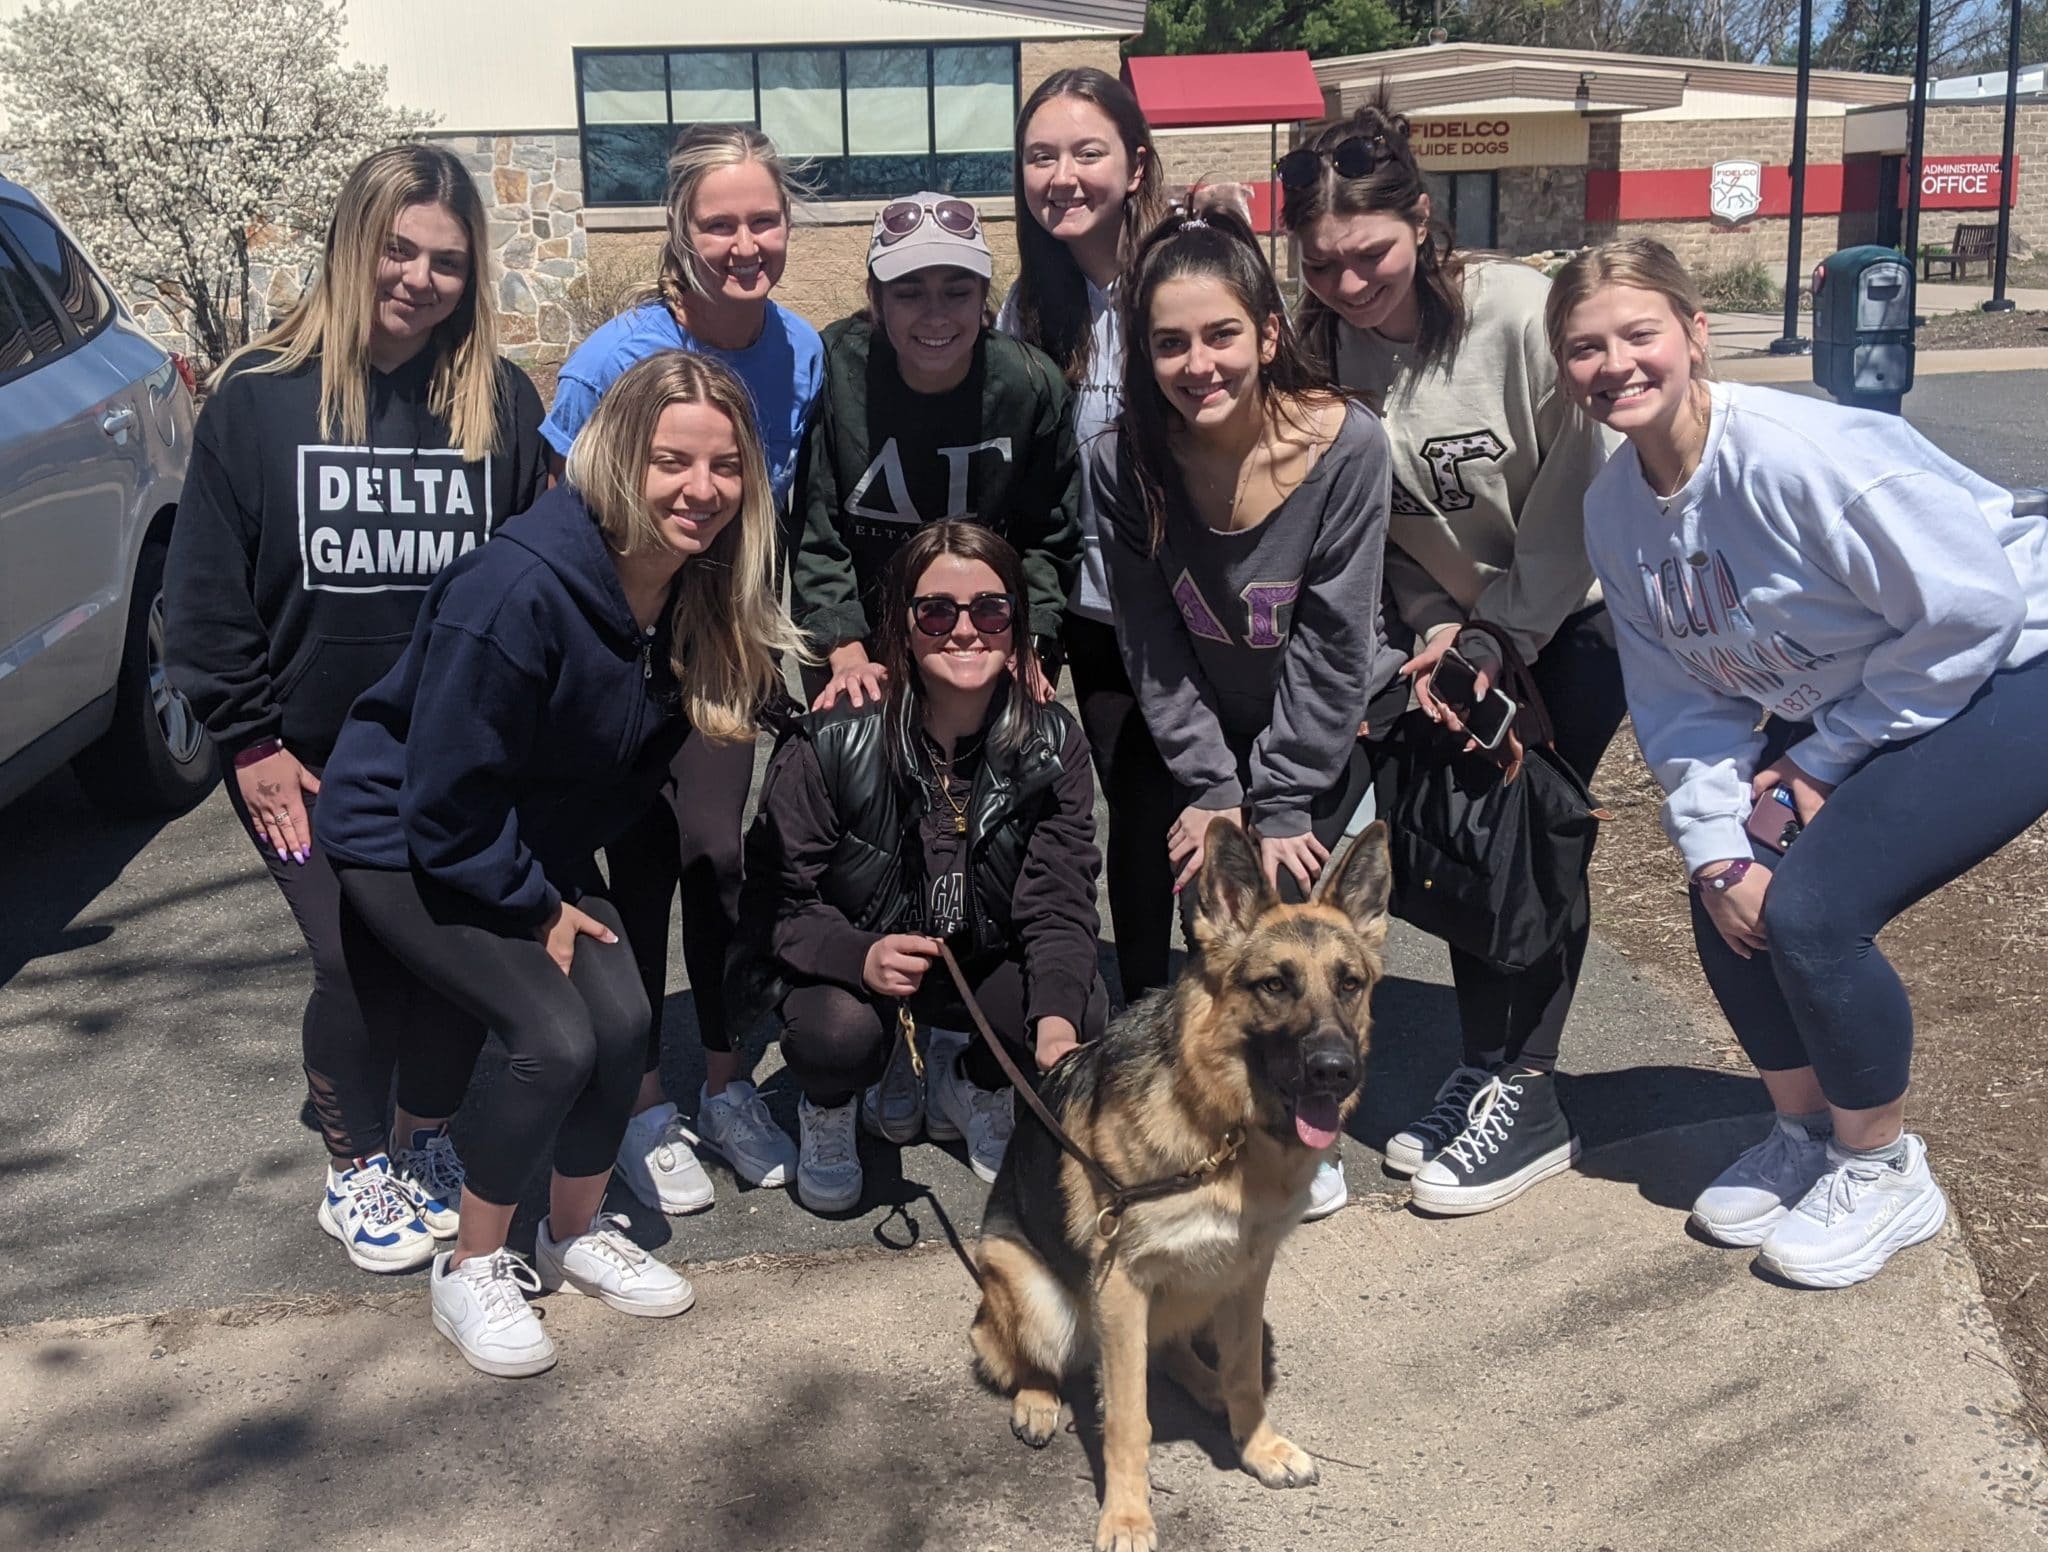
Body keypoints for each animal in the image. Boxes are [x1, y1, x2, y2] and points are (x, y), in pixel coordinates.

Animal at [970, 818, 1392, 1547]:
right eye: (1275, 985)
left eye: (1349, 984)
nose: (1336, 1071)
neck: (1224, 1135)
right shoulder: (1119, 1286)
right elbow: (1128, 1419)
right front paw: (1127, 1514)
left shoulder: (1249, 1271)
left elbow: (1246, 1371)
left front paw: (1257, 1444)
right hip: (1025, 1286)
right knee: (1033, 1357)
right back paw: (1038, 1400)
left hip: (1204, 1282)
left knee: (1170, 1353)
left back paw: (1207, 1385)